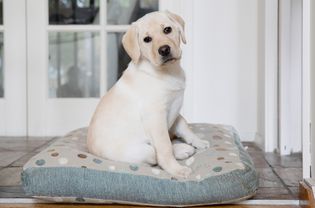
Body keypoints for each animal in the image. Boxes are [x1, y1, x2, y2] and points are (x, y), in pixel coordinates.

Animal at [87, 10, 210, 179]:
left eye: (167, 30)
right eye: (147, 39)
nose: (164, 50)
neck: (167, 72)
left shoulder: (175, 107)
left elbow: (184, 126)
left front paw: (198, 141)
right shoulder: (156, 116)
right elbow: (164, 146)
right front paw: (176, 170)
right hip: (144, 150)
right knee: (154, 155)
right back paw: (180, 151)